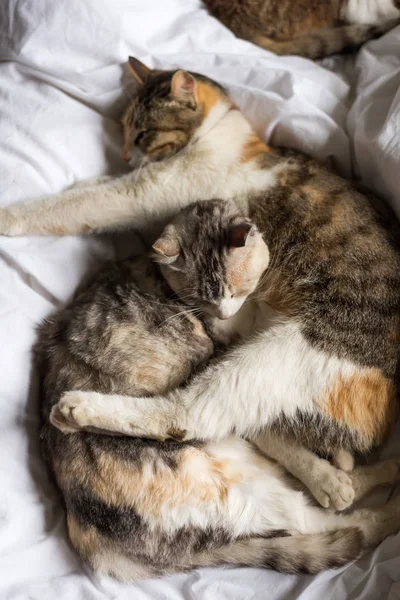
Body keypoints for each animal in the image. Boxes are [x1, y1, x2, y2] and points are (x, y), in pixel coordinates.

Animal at [36, 200, 400, 580]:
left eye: (235, 288)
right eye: (203, 299)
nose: (224, 313)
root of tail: (92, 540)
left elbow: (274, 428)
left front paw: (334, 466)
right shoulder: (217, 353)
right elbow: (270, 428)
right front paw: (329, 473)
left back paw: (372, 473)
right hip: (237, 488)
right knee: (323, 520)